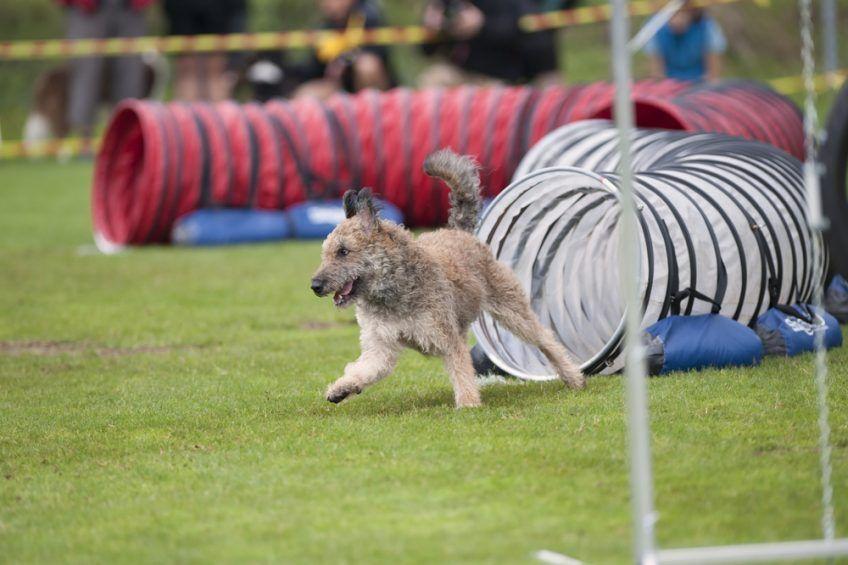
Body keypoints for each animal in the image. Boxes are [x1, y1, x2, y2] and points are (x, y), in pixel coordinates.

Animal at [310, 149, 584, 406]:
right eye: (326, 253)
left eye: (343, 251)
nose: (315, 285)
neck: (391, 291)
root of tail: (459, 232)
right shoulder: (381, 345)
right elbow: (365, 368)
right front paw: (341, 389)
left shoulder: (447, 337)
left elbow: (461, 371)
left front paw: (469, 404)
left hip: (512, 309)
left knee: (545, 338)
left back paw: (573, 376)